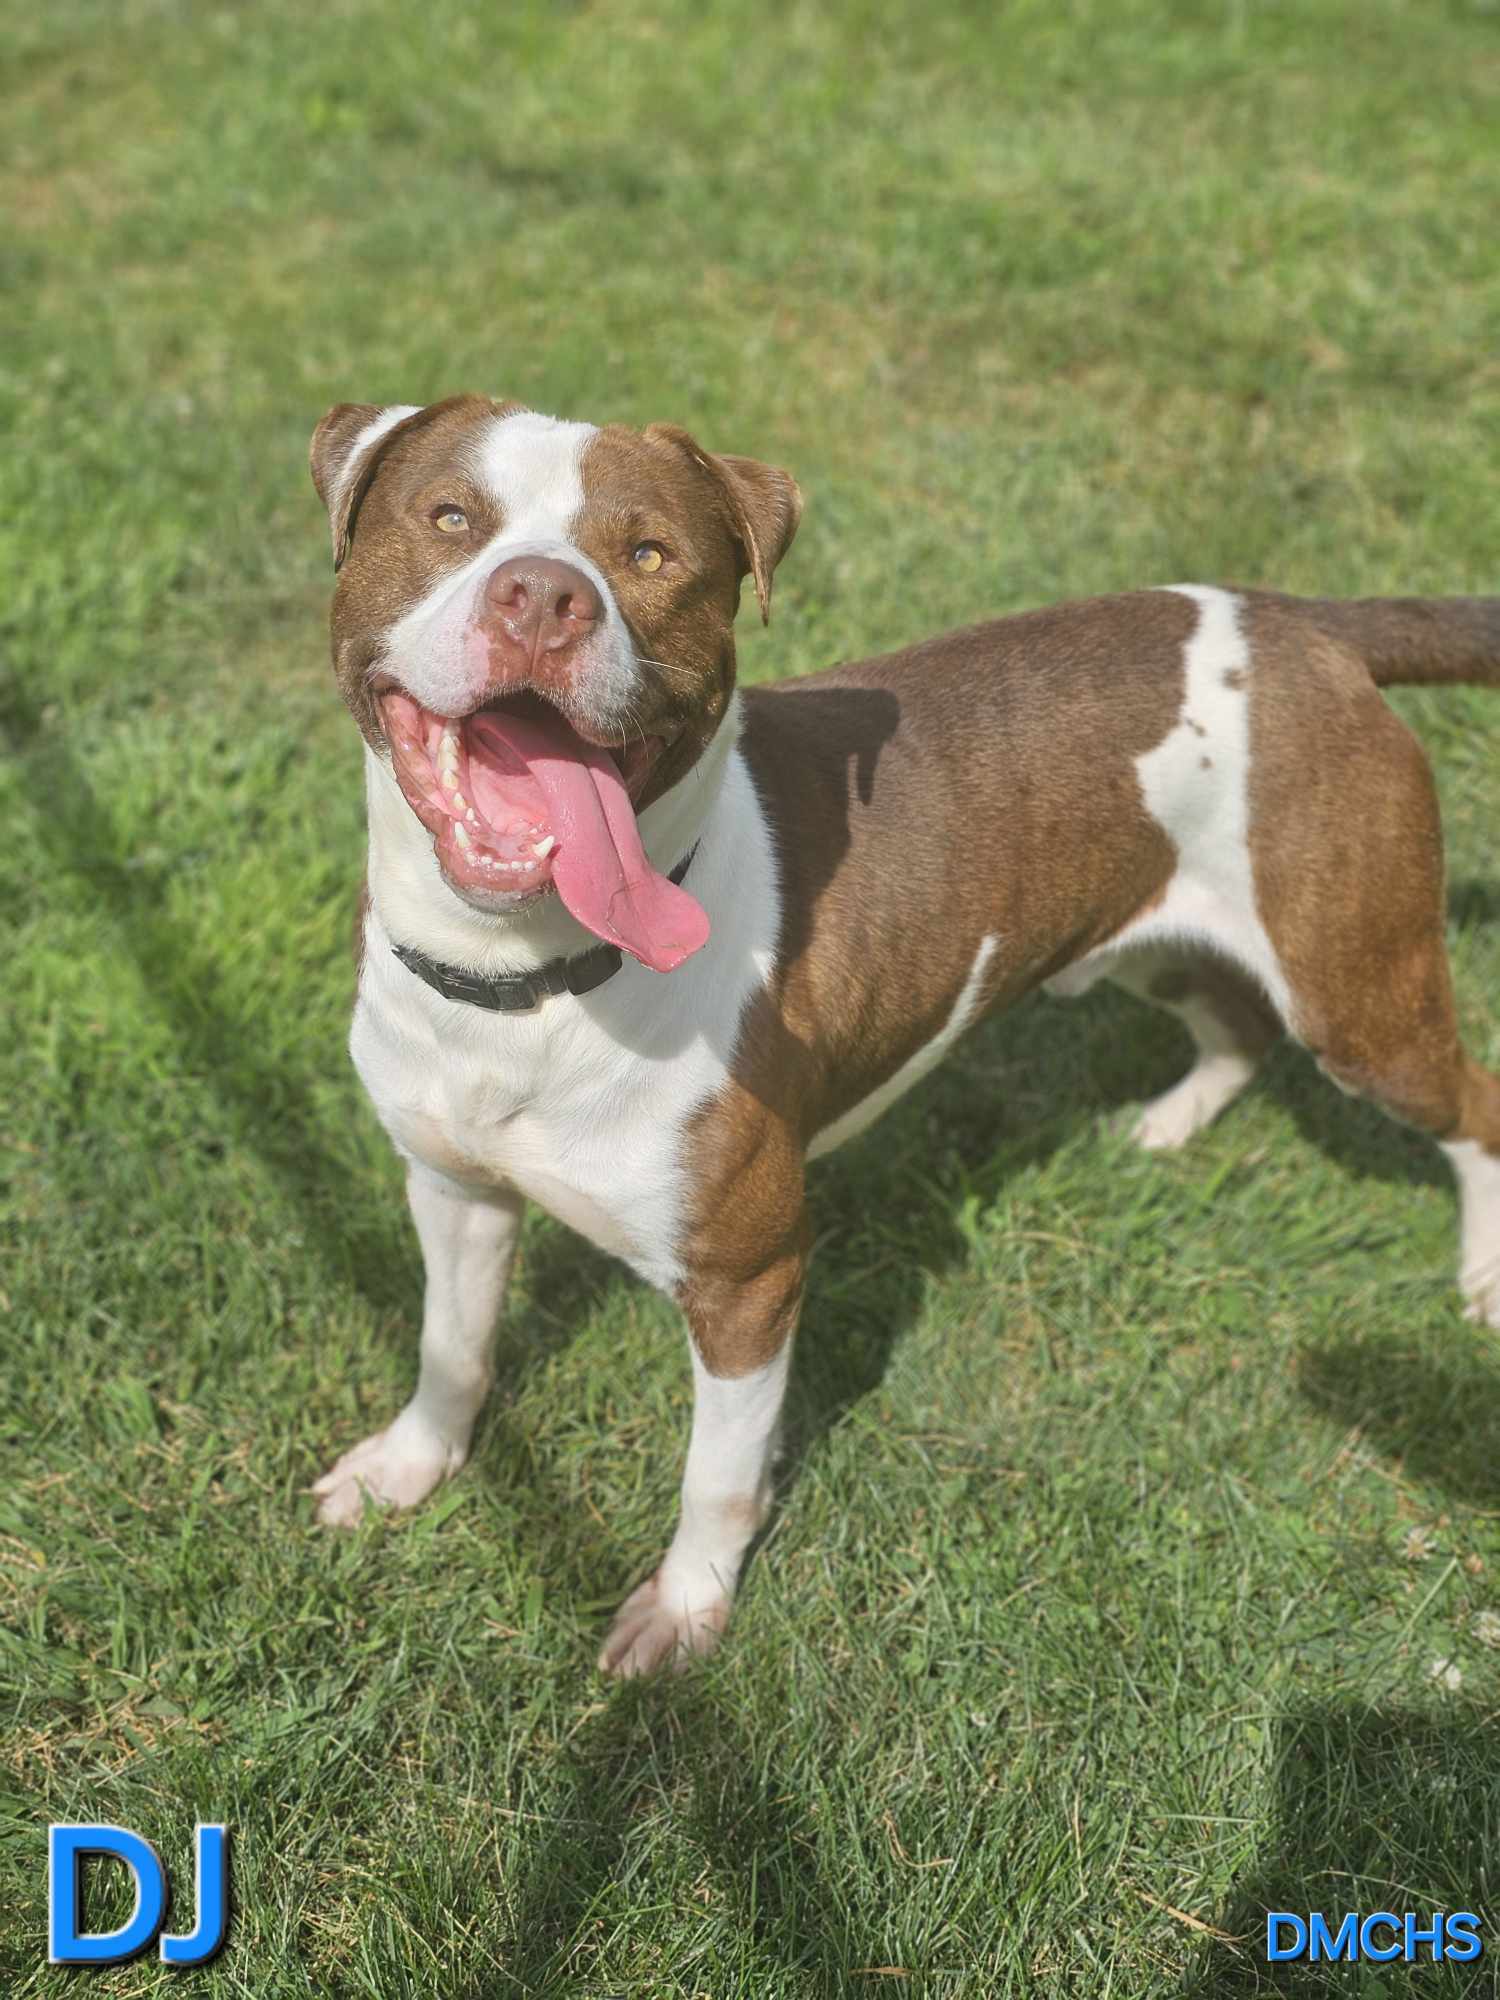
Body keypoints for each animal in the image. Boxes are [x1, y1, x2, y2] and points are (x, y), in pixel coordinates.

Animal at [306, 390, 1500, 1672]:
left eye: (649, 554)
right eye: (450, 517)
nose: (541, 594)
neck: (525, 978)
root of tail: (1297, 619)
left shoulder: (750, 1283)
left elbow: (717, 1475)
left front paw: (684, 1613)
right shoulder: (452, 1185)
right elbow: (450, 1344)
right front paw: (409, 1465)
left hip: (1358, 993)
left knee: (1470, 1105)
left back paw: (1482, 1278)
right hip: (1142, 935)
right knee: (1231, 1017)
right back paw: (1169, 1124)